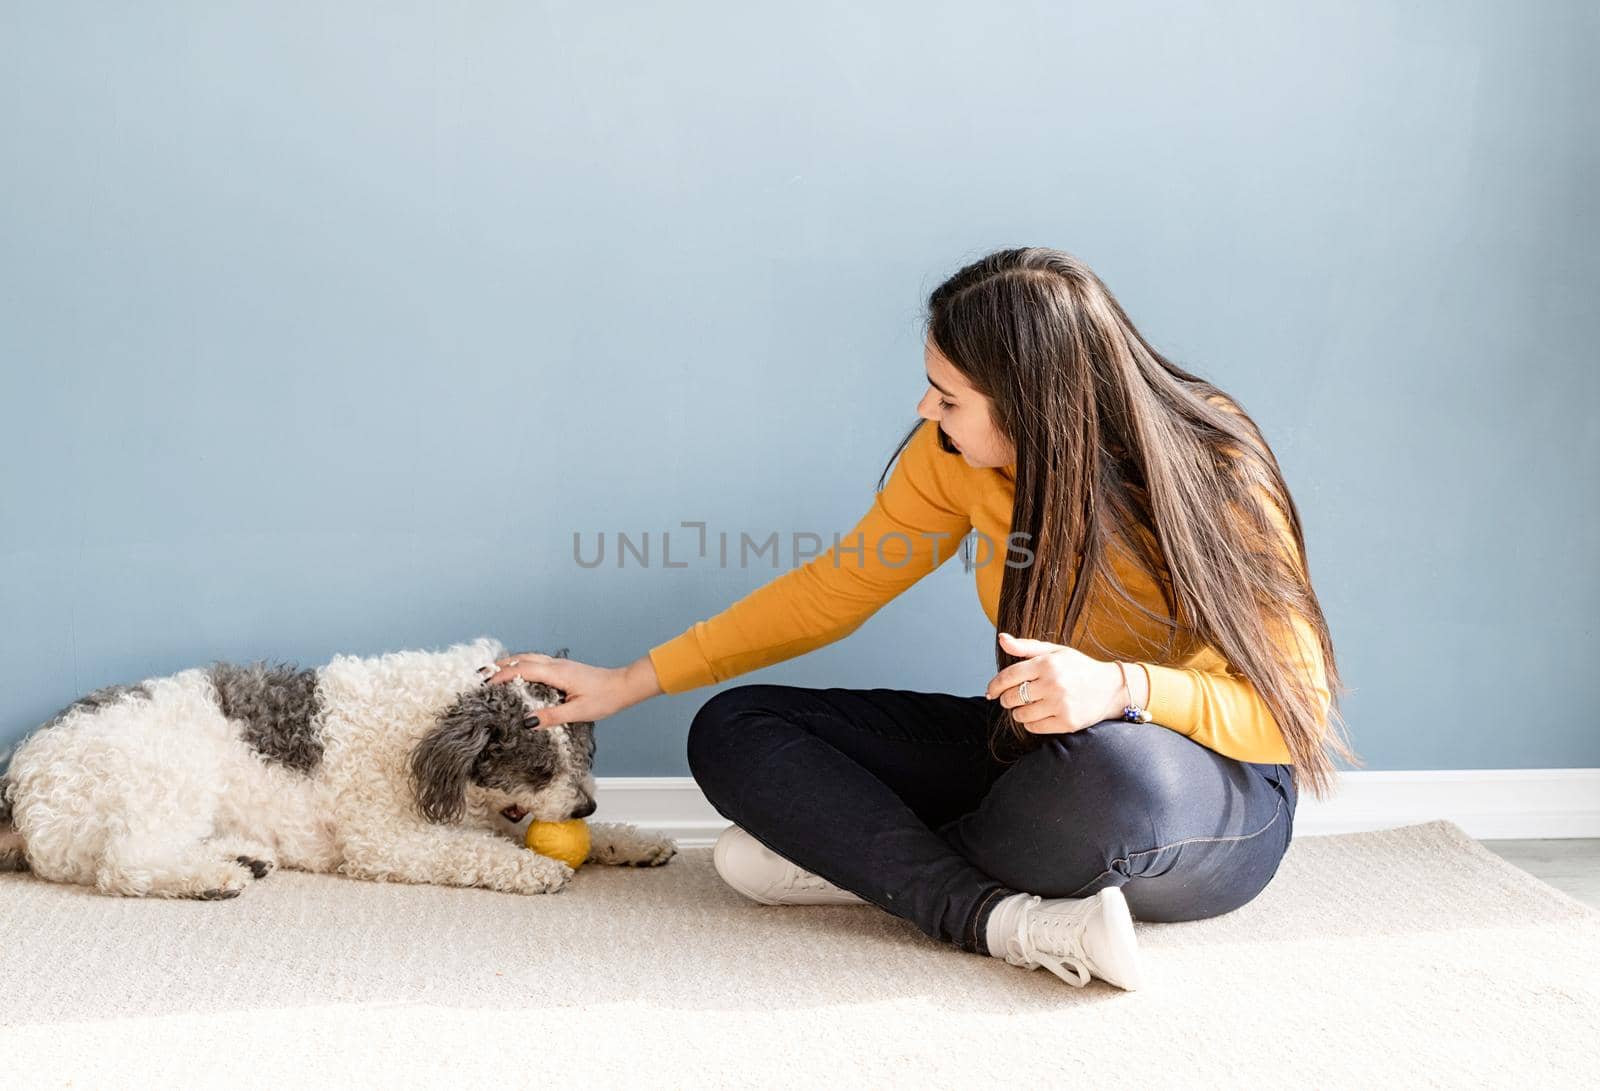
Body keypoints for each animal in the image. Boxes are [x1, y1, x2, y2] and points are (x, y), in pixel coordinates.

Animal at [0, 633, 675, 895]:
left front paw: (634, 840)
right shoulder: (389, 842)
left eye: (584, 754)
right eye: (537, 771)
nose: (585, 804)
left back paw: (242, 857)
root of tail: (21, 774)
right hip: (168, 777)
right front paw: (534, 869)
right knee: (125, 866)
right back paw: (215, 878)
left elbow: (584, 839)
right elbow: (476, 852)